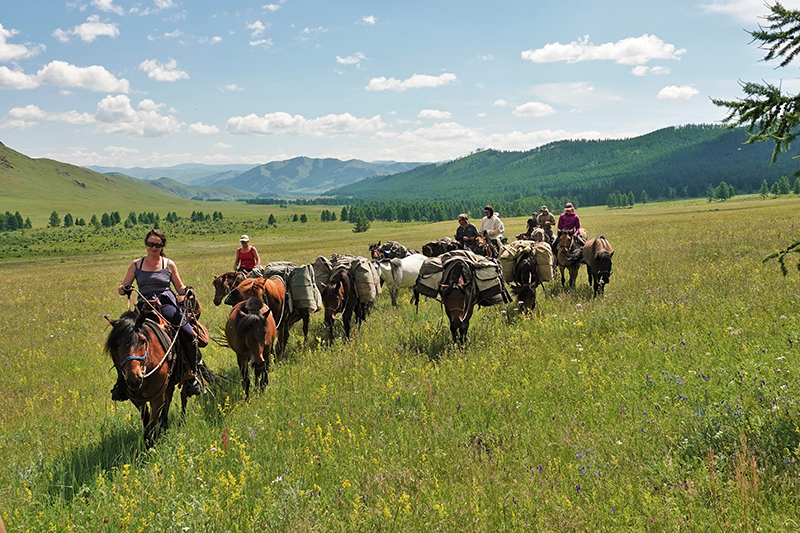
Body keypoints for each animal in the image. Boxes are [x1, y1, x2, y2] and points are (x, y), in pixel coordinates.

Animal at [104, 310, 188, 446]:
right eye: (118, 344)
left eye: (143, 341)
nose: (134, 378)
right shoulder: (137, 400)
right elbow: (146, 421)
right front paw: (148, 443)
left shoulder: (157, 398)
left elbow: (152, 422)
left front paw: (152, 445)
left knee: (181, 396)